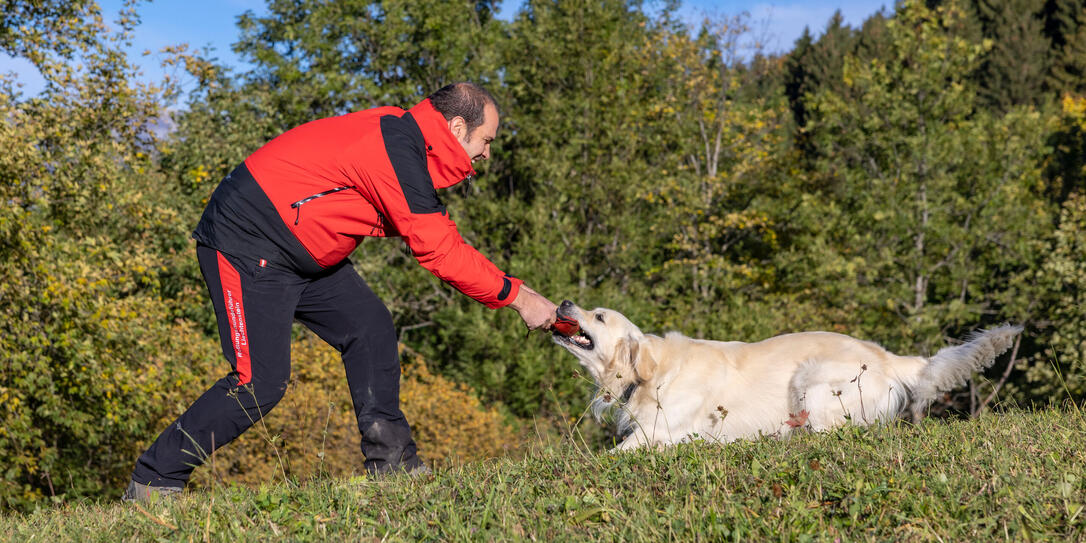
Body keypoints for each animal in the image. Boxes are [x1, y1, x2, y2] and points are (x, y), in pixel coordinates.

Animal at [556, 301, 1020, 449]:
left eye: (599, 316)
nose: (563, 303)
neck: (652, 372)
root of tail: (885, 356)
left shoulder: (660, 435)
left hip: (812, 384)